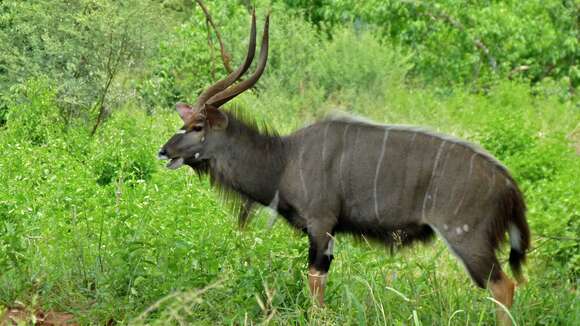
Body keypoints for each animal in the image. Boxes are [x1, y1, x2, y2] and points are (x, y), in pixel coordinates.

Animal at [157, 11, 532, 324]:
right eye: (185, 122)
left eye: (198, 126)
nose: (164, 151)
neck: (283, 159)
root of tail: (508, 184)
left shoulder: (321, 223)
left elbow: (315, 281)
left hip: (468, 239)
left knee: (503, 286)